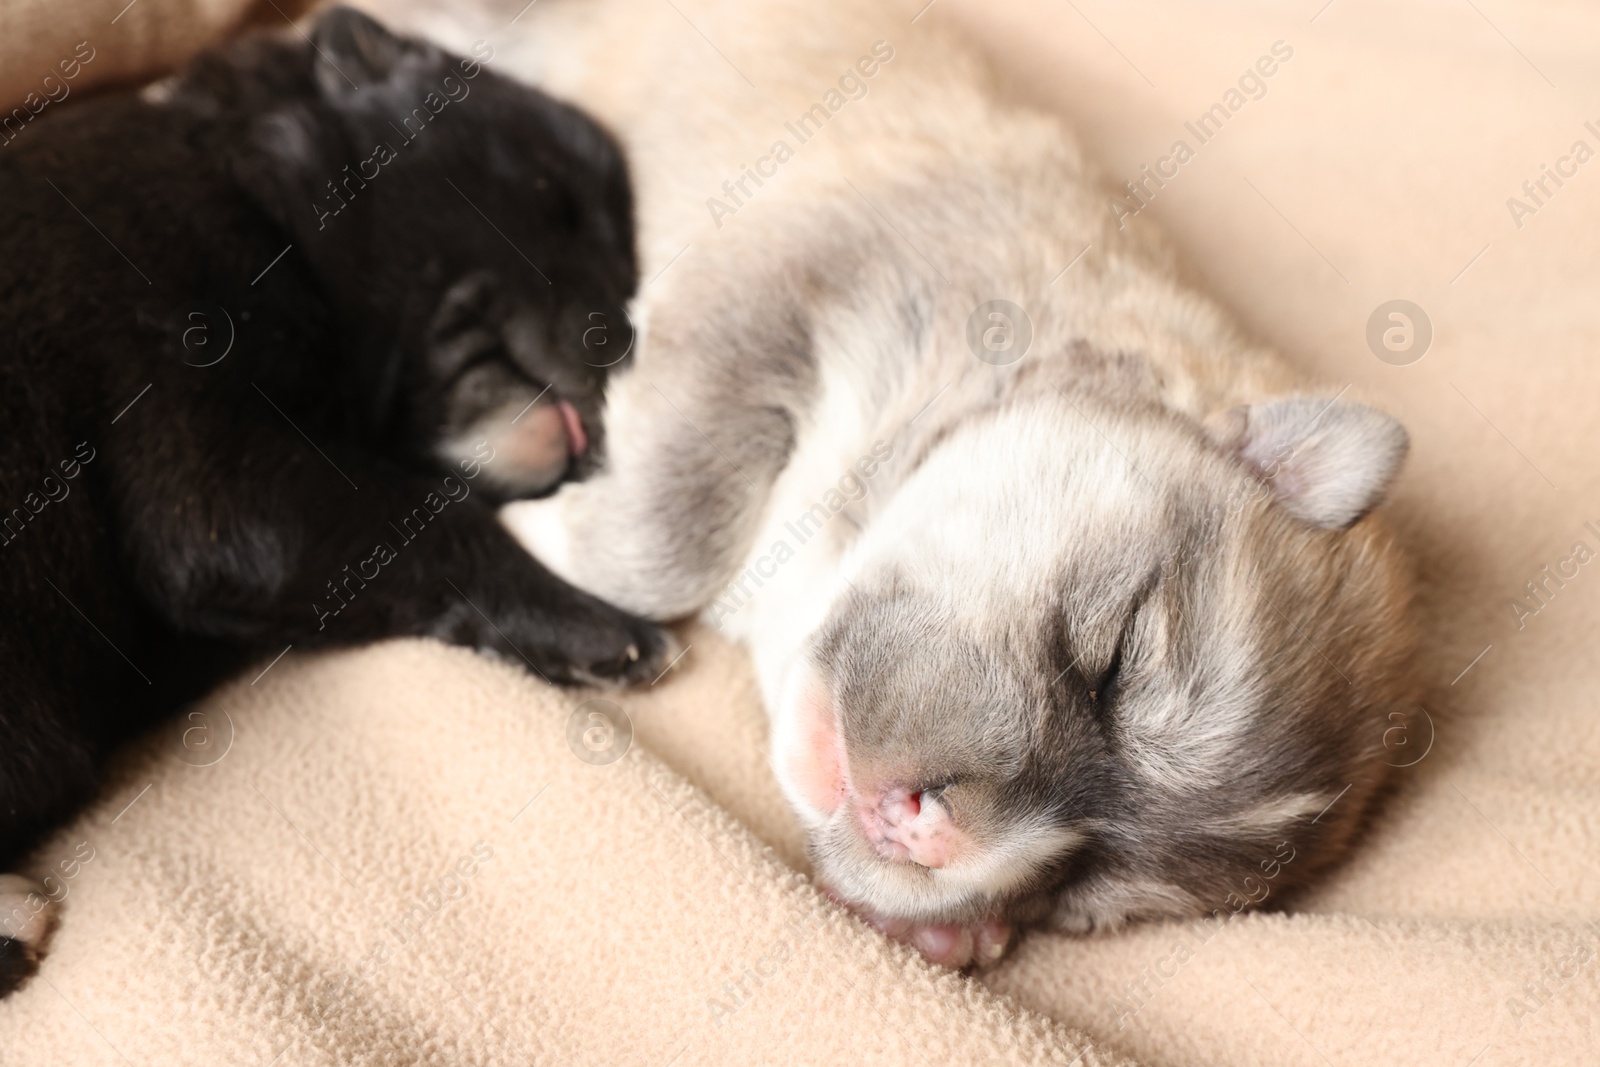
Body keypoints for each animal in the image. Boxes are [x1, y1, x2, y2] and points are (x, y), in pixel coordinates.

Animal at [0, 8, 668, 991]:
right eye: (556, 194)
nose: (634, 346)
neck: (241, 179)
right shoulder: (210, 475)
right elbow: (428, 520)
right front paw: (604, 625)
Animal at [393, 0, 1420, 966]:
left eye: (1076, 887)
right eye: (1116, 661)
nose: (928, 833)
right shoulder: (773, 284)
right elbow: (662, 535)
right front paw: (536, 527)